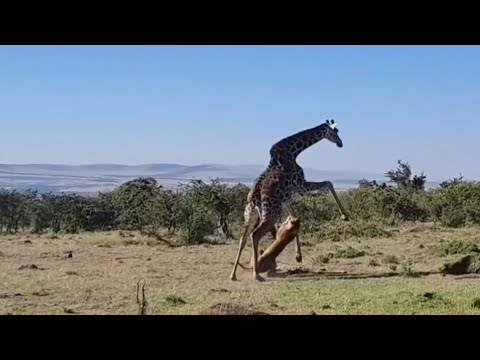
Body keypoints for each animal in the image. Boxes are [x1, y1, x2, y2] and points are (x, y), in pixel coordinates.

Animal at [229, 119, 348, 282]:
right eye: (335, 132)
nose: (340, 143)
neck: (292, 152)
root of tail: (254, 197)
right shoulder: (301, 186)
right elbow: (328, 183)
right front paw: (345, 215)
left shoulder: (287, 199)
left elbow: (295, 217)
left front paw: (298, 256)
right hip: (271, 214)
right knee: (255, 235)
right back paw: (256, 274)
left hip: (251, 215)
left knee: (243, 238)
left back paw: (233, 275)